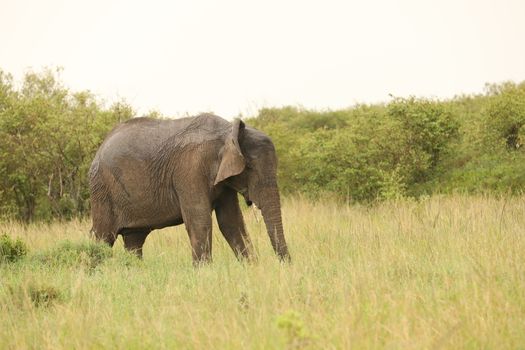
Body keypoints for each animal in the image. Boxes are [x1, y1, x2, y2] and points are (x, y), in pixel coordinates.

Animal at [87, 113, 288, 264]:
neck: (227, 133)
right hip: (102, 189)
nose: (284, 266)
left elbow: (231, 222)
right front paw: (204, 273)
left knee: (134, 240)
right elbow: (200, 220)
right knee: (103, 237)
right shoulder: (190, 170)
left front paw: (251, 268)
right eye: (249, 168)